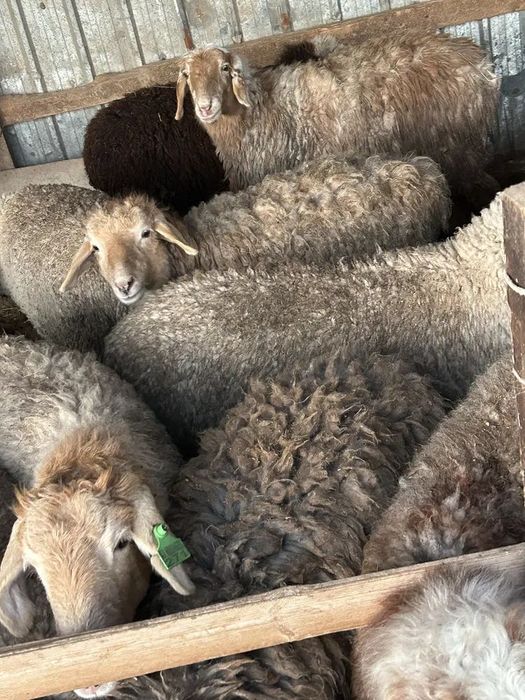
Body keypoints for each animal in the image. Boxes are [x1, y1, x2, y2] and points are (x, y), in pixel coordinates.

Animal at [175, 33, 499, 207]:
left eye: (225, 68)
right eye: (187, 75)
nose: (205, 107)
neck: (260, 107)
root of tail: (481, 64)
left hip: (460, 149)